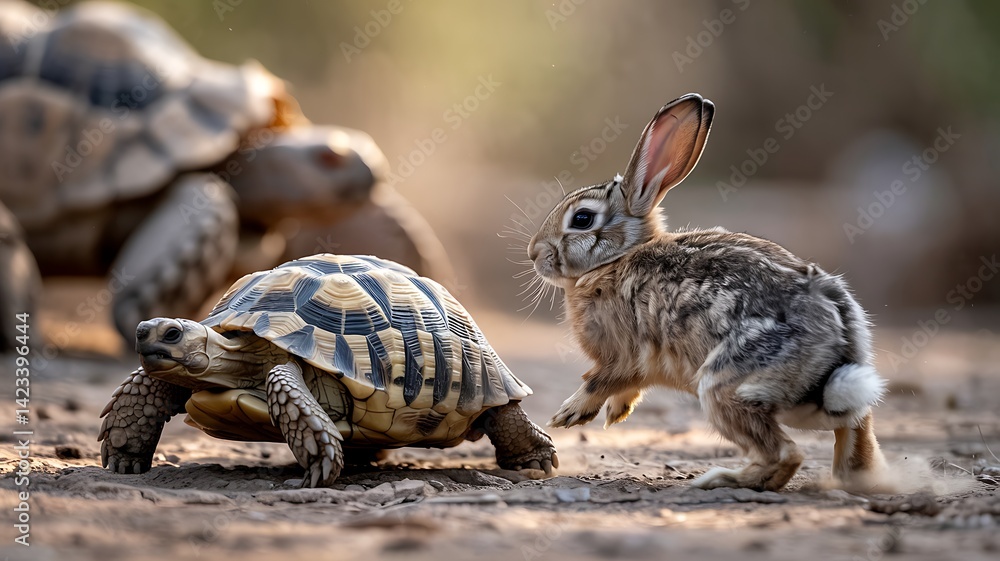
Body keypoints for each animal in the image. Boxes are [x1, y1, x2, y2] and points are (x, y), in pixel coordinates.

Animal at [527, 93, 888, 492]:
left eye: (582, 219)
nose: (534, 253)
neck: (616, 259)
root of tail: (835, 344)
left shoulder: (623, 355)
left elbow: (601, 380)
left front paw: (569, 414)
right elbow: (628, 387)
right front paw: (616, 412)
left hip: (722, 385)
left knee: (785, 454)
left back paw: (719, 479)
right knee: (854, 430)